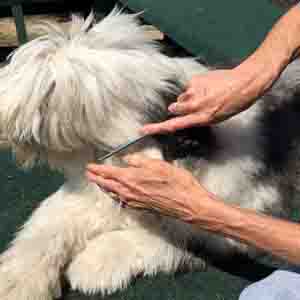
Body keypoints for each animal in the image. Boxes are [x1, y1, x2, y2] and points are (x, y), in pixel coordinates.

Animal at [0, 7, 298, 300]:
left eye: (68, 88)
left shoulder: (218, 227)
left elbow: (156, 240)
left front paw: (93, 264)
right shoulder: (85, 198)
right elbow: (46, 227)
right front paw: (16, 283)